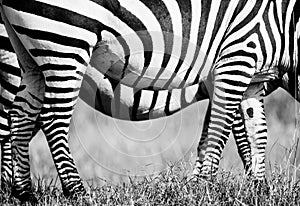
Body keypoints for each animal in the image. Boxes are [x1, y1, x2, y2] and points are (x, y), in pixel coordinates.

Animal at [0, 0, 298, 201]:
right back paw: (75, 192)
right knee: (46, 120)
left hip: (31, 55)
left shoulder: (252, 78)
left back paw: (23, 193)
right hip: (64, 41)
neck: (285, 23)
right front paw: (205, 188)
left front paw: (256, 189)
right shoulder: (235, 59)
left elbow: (254, 133)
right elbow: (224, 132)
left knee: (20, 116)